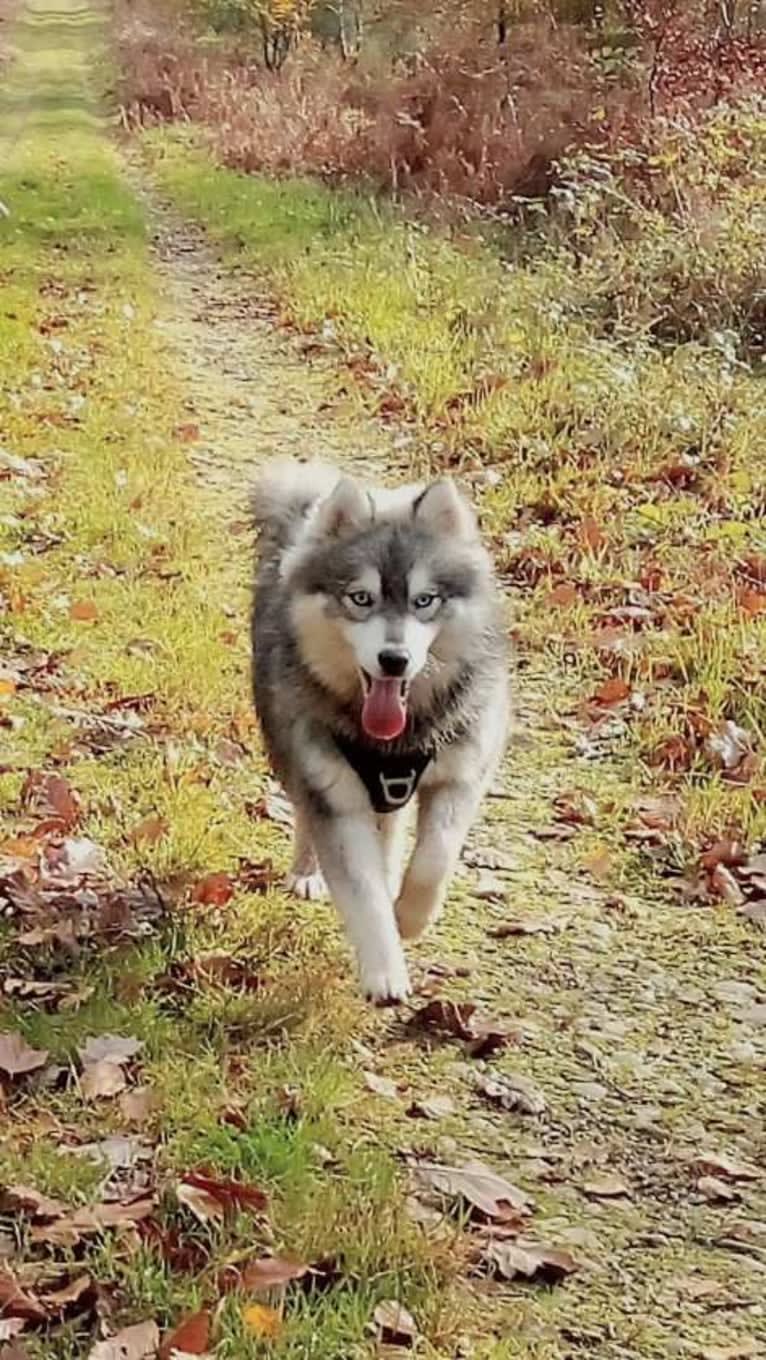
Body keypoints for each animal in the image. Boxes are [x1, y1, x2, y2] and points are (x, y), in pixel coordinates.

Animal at [251, 462, 511, 1006]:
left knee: (390, 834)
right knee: (309, 816)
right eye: (360, 598)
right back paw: (307, 873)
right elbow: (361, 887)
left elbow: (434, 859)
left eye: (424, 600)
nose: (394, 660)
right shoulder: (333, 796)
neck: (395, 740)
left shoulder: (462, 773)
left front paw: (408, 917)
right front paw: (384, 970)